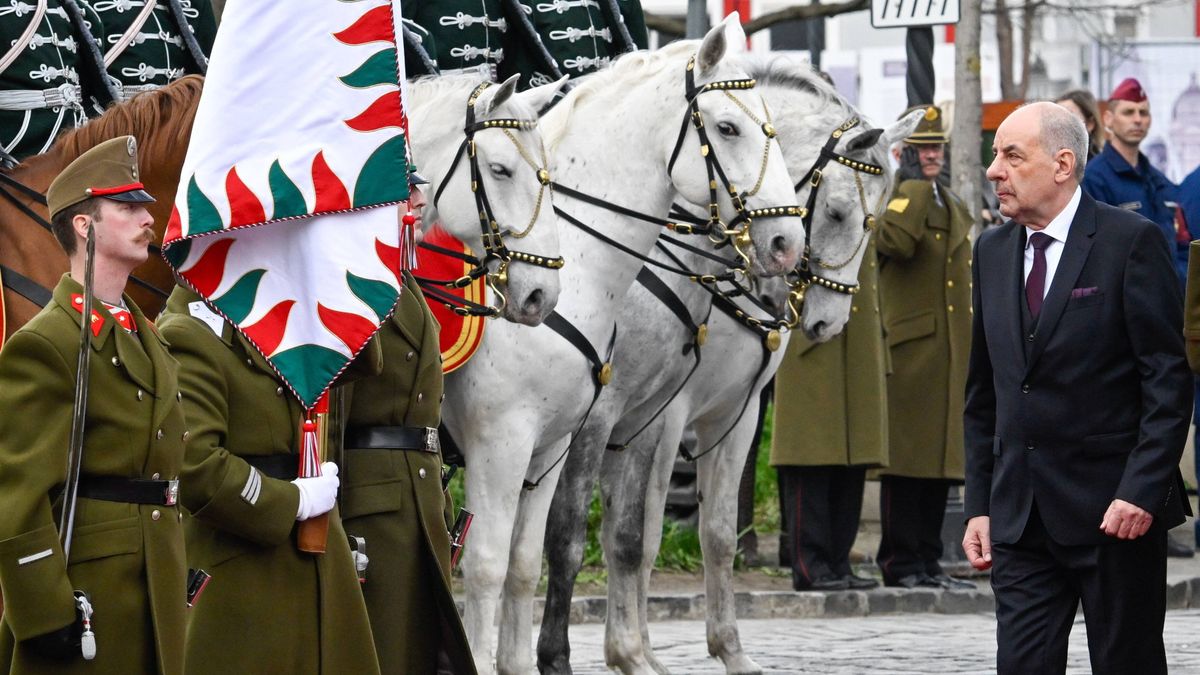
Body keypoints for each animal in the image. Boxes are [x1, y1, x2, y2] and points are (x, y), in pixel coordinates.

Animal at [446, 17, 811, 672]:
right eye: (727, 127)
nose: (787, 244)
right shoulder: (522, 436)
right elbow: (540, 549)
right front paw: (558, 657)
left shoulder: (587, 433)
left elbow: (563, 552)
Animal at [535, 53, 916, 672]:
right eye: (837, 212)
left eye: (876, 220)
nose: (829, 323)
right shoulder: (647, 416)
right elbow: (639, 534)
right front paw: (632, 649)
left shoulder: (733, 416)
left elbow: (711, 533)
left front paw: (723, 648)